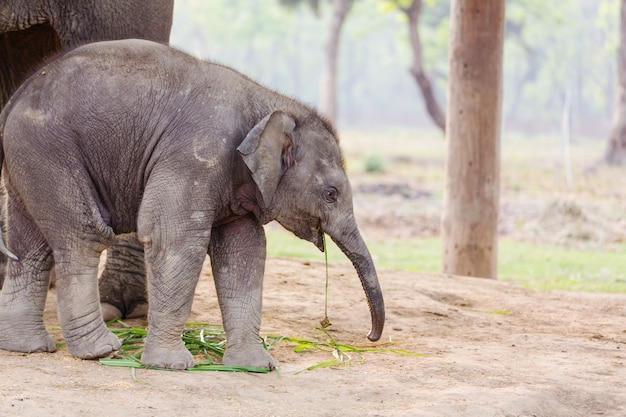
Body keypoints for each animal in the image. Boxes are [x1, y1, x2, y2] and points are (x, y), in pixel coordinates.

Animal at [0, 39, 382, 370]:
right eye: (331, 193)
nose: (369, 336)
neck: (271, 104)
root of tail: (17, 95)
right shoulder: (195, 155)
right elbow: (173, 238)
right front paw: (171, 366)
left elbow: (244, 252)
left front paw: (255, 367)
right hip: (49, 150)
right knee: (84, 236)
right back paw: (101, 350)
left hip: (28, 158)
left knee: (31, 246)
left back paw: (27, 346)